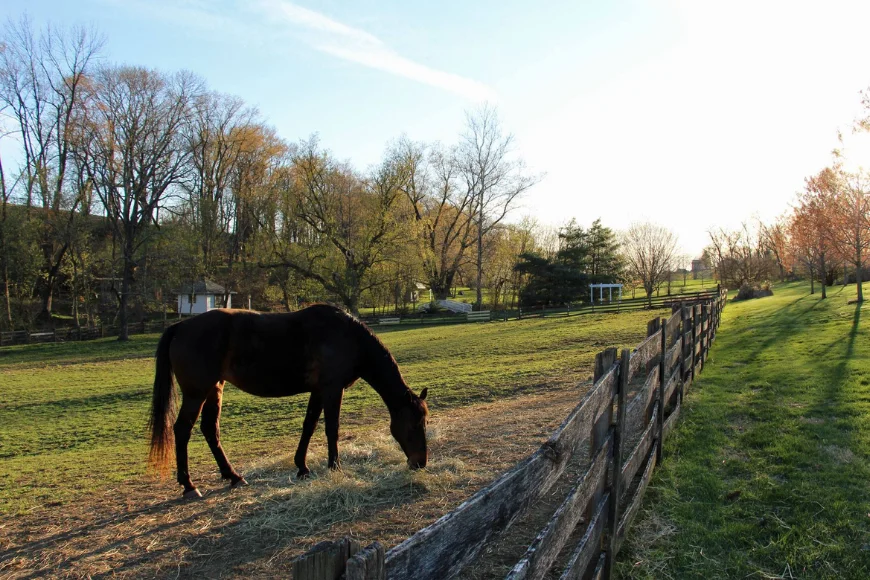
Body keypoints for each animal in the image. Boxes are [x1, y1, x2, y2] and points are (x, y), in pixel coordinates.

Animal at [148, 304, 429, 498]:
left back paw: (233, 476)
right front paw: (334, 466)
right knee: (182, 430)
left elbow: (309, 426)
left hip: (214, 389)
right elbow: (332, 429)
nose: (421, 462)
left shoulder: (318, 391)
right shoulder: (332, 389)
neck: (346, 337)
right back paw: (188, 485)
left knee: (209, 429)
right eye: (416, 424)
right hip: (196, 393)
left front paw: (302, 467)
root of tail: (180, 327)